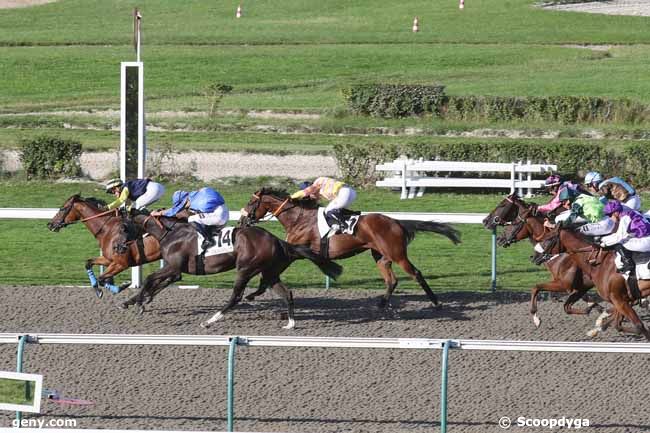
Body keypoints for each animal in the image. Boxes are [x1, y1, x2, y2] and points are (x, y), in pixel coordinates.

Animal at [123, 213, 342, 328]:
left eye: (123, 227)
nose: (120, 246)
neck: (172, 233)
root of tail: (280, 242)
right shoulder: (175, 271)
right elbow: (154, 282)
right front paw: (138, 301)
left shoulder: (174, 268)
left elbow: (150, 278)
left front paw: (139, 303)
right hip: (270, 273)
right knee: (286, 293)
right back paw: (290, 323)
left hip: (245, 269)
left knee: (236, 297)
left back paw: (210, 320)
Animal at [239, 187, 460, 308]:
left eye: (251, 202)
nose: (242, 221)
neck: (298, 219)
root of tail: (397, 222)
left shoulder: (294, 252)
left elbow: (268, 275)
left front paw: (249, 294)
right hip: (380, 256)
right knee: (392, 280)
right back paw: (381, 304)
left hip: (397, 254)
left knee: (416, 274)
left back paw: (437, 303)